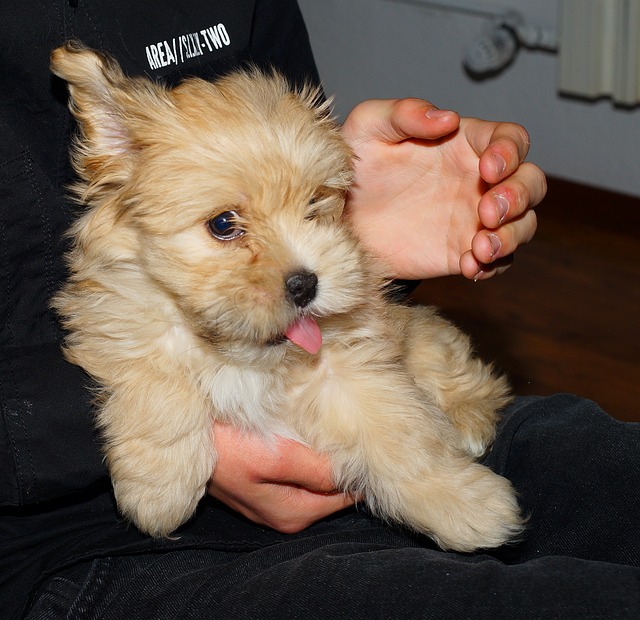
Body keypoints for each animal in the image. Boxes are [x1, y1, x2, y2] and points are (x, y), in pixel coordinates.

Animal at [48, 41, 520, 548]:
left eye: (314, 206)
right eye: (223, 224)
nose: (306, 283)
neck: (244, 361)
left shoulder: (352, 367)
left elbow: (403, 436)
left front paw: (465, 504)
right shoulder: (117, 320)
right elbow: (156, 382)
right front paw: (160, 488)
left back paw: (468, 418)